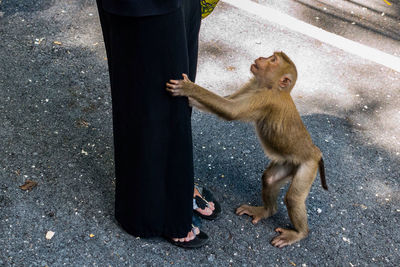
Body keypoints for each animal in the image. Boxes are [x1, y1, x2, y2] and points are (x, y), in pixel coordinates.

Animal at [166, 51, 328, 249]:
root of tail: (316, 151)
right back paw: (266, 211)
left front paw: (188, 88)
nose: (261, 58)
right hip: (288, 162)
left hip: (307, 166)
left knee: (293, 198)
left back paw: (299, 233)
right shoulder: (252, 85)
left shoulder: (265, 98)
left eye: (273, 60)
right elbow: (227, 102)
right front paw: (190, 98)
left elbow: (230, 110)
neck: (272, 87)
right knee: (269, 179)